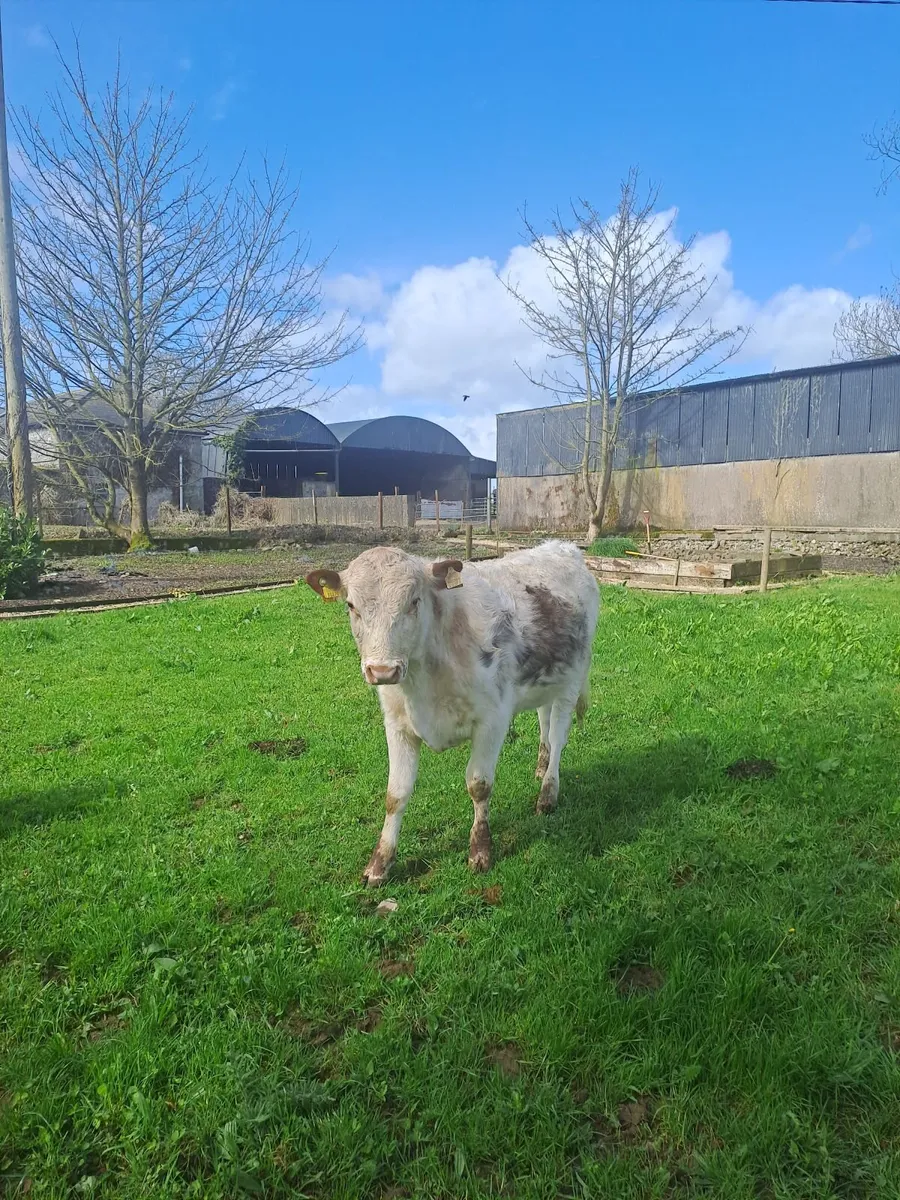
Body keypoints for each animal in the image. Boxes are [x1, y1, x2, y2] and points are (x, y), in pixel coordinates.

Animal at [305, 540, 600, 886]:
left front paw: (480, 851)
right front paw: (380, 863)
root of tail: (561, 547)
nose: (382, 670)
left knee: (558, 733)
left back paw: (548, 793)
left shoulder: (492, 720)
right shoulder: (397, 724)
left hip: (571, 681)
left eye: (414, 601)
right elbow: (396, 793)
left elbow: (479, 784)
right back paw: (541, 767)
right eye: (351, 605)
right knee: (544, 719)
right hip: (545, 681)